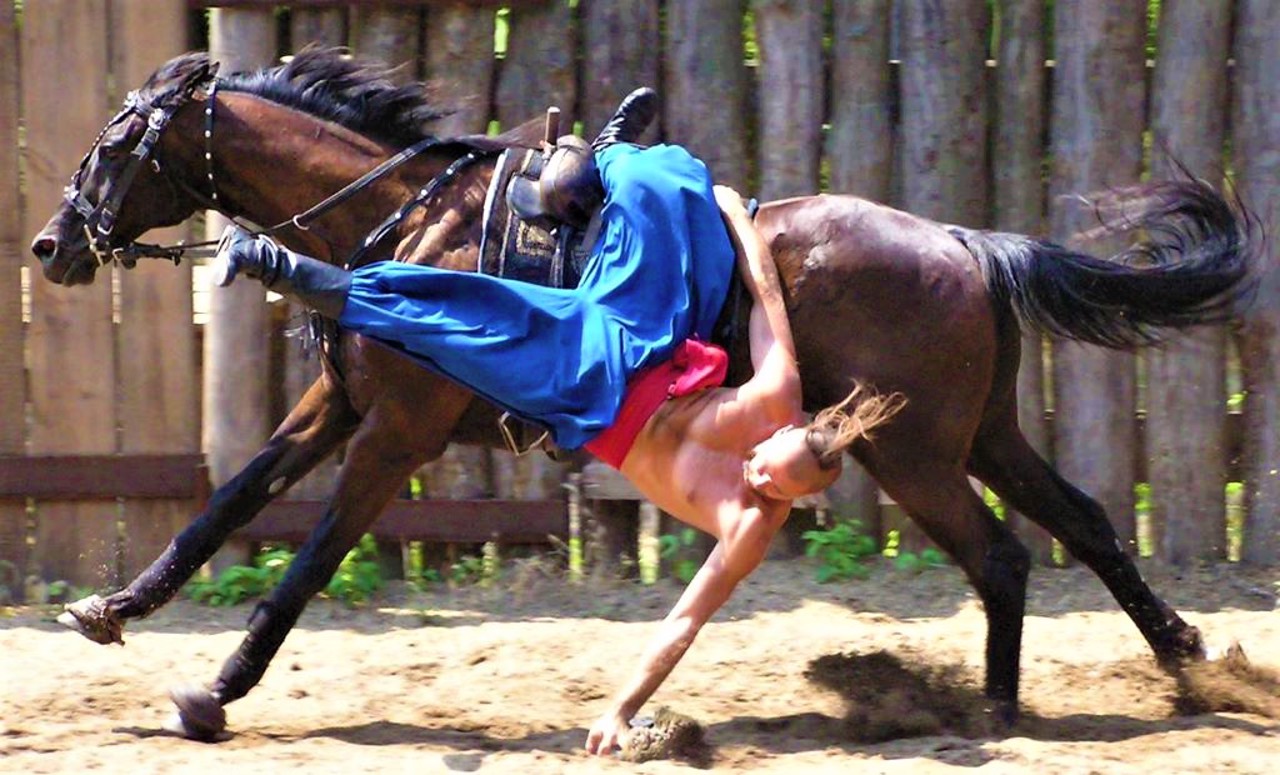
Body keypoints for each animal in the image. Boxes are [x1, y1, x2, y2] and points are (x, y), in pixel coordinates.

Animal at [32, 51, 1259, 742]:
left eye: (117, 141)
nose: (52, 243)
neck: (397, 224)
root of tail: (964, 242)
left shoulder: (395, 434)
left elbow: (309, 557)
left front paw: (216, 690)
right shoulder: (337, 407)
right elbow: (227, 500)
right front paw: (116, 606)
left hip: (910, 453)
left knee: (1000, 554)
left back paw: (997, 714)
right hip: (980, 434)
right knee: (1081, 525)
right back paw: (1184, 668)